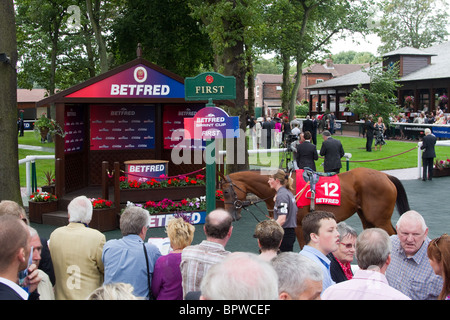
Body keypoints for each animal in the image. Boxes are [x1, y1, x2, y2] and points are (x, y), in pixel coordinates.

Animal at [219, 168, 412, 248]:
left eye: (226, 191)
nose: (232, 215)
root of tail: (386, 176)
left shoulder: (298, 224)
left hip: (380, 218)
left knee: (394, 235)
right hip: (366, 217)